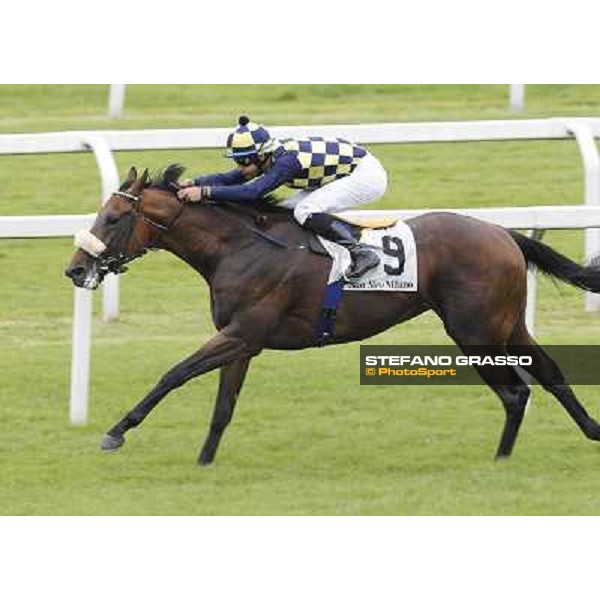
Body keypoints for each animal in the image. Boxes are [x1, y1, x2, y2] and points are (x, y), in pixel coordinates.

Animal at [63, 164, 600, 464]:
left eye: (113, 218)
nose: (75, 269)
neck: (240, 246)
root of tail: (503, 232)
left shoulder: (241, 334)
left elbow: (173, 373)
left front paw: (115, 432)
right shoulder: (242, 341)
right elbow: (223, 408)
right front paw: (204, 461)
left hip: (475, 332)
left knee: (515, 392)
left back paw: (500, 460)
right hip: (509, 325)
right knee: (550, 375)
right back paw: (588, 433)